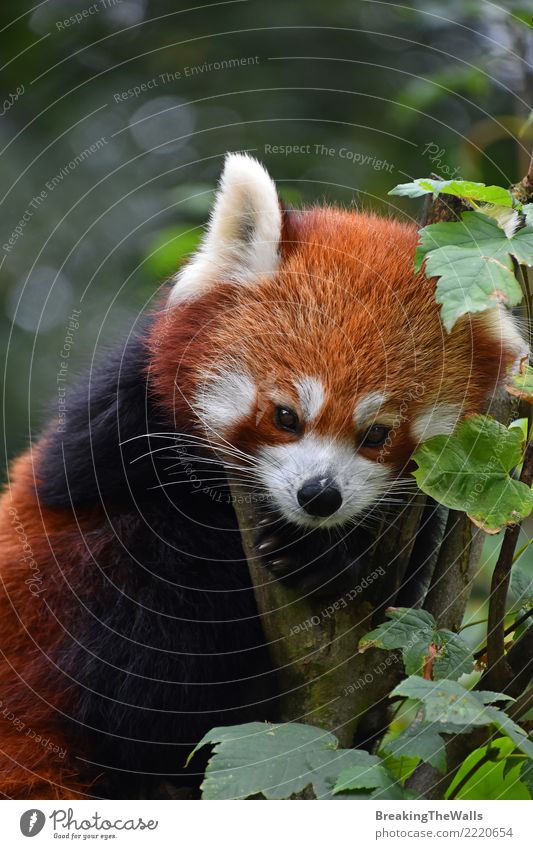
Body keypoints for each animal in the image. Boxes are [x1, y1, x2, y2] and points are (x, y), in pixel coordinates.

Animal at [0, 156, 524, 800]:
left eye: (377, 434)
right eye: (285, 416)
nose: (319, 496)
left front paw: (328, 557)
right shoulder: (112, 421)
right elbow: (112, 488)